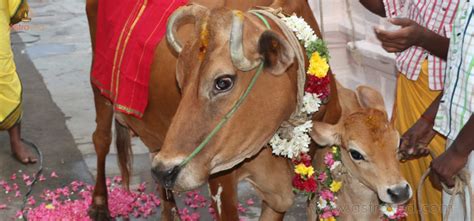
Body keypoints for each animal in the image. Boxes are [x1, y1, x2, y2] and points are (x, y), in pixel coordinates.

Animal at [84, 0, 336, 220]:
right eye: (181, 81)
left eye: (223, 82)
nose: (166, 170)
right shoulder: (221, 182)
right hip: (99, 87)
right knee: (101, 139)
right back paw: (99, 204)